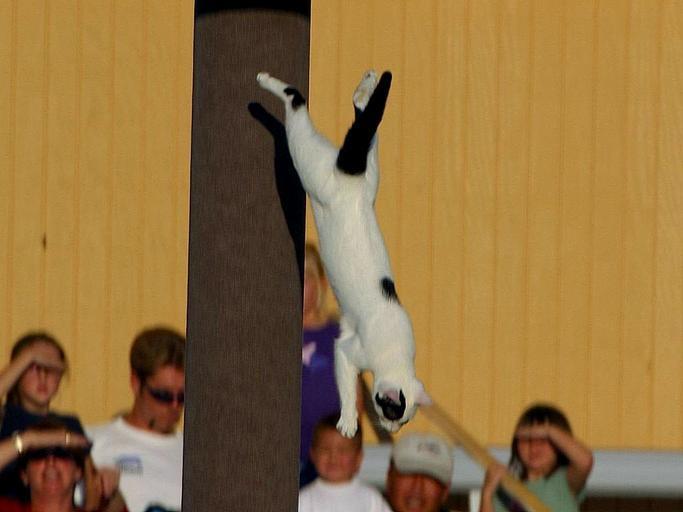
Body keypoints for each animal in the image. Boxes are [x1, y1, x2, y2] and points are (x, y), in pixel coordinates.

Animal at [257, 69, 430, 437]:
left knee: (365, 126)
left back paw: (365, 88)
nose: (392, 430)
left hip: (370, 178)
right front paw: (349, 422)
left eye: (404, 421)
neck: (397, 354)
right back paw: (267, 82)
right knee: (296, 102)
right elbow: (347, 386)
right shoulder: (347, 350)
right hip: (311, 167)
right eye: (391, 413)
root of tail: (352, 179)